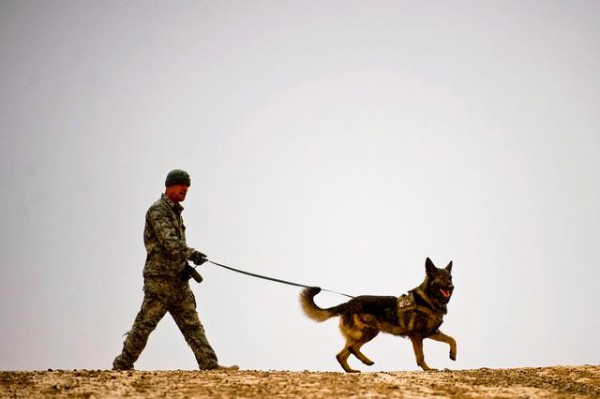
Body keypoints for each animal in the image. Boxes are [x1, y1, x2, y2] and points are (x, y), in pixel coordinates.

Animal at [302, 258, 458, 374]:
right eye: (441, 278)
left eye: (450, 277)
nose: (451, 287)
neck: (429, 300)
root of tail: (348, 303)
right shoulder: (417, 335)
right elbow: (421, 356)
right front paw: (428, 369)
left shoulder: (431, 332)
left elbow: (452, 339)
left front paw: (453, 355)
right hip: (368, 332)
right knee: (352, 348)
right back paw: (367, 361)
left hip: (363, 334)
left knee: (341, 355)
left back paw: (352, 370)